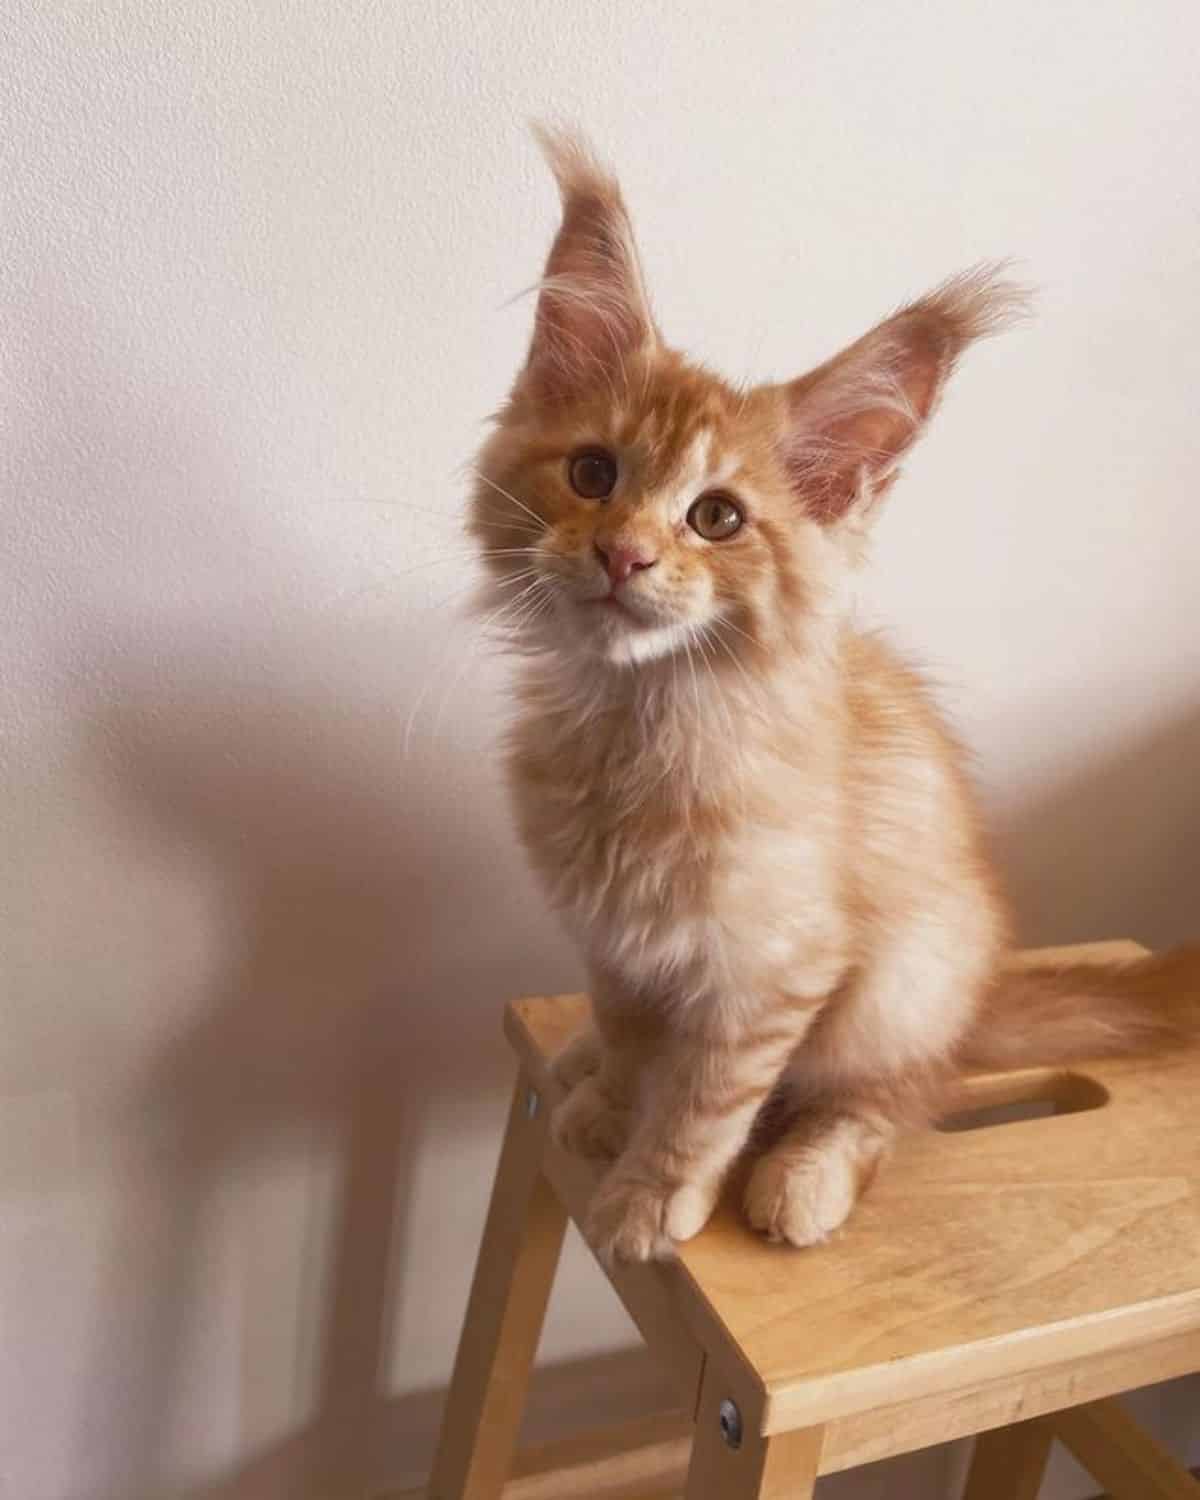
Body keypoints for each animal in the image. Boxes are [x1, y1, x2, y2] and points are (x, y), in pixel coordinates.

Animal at [471, 132, 1200, 1266]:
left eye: (717, 518)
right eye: (592, 474)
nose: (623, 554)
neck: (646, 715)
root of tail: (977, 997)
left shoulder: (779, 965)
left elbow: (707, 1099)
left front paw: (651, 1196)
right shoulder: (615, 941)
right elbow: (633, 1036)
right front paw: (605, 1106)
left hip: (900, 987)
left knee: (888, 1100)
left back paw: (806, 1175)